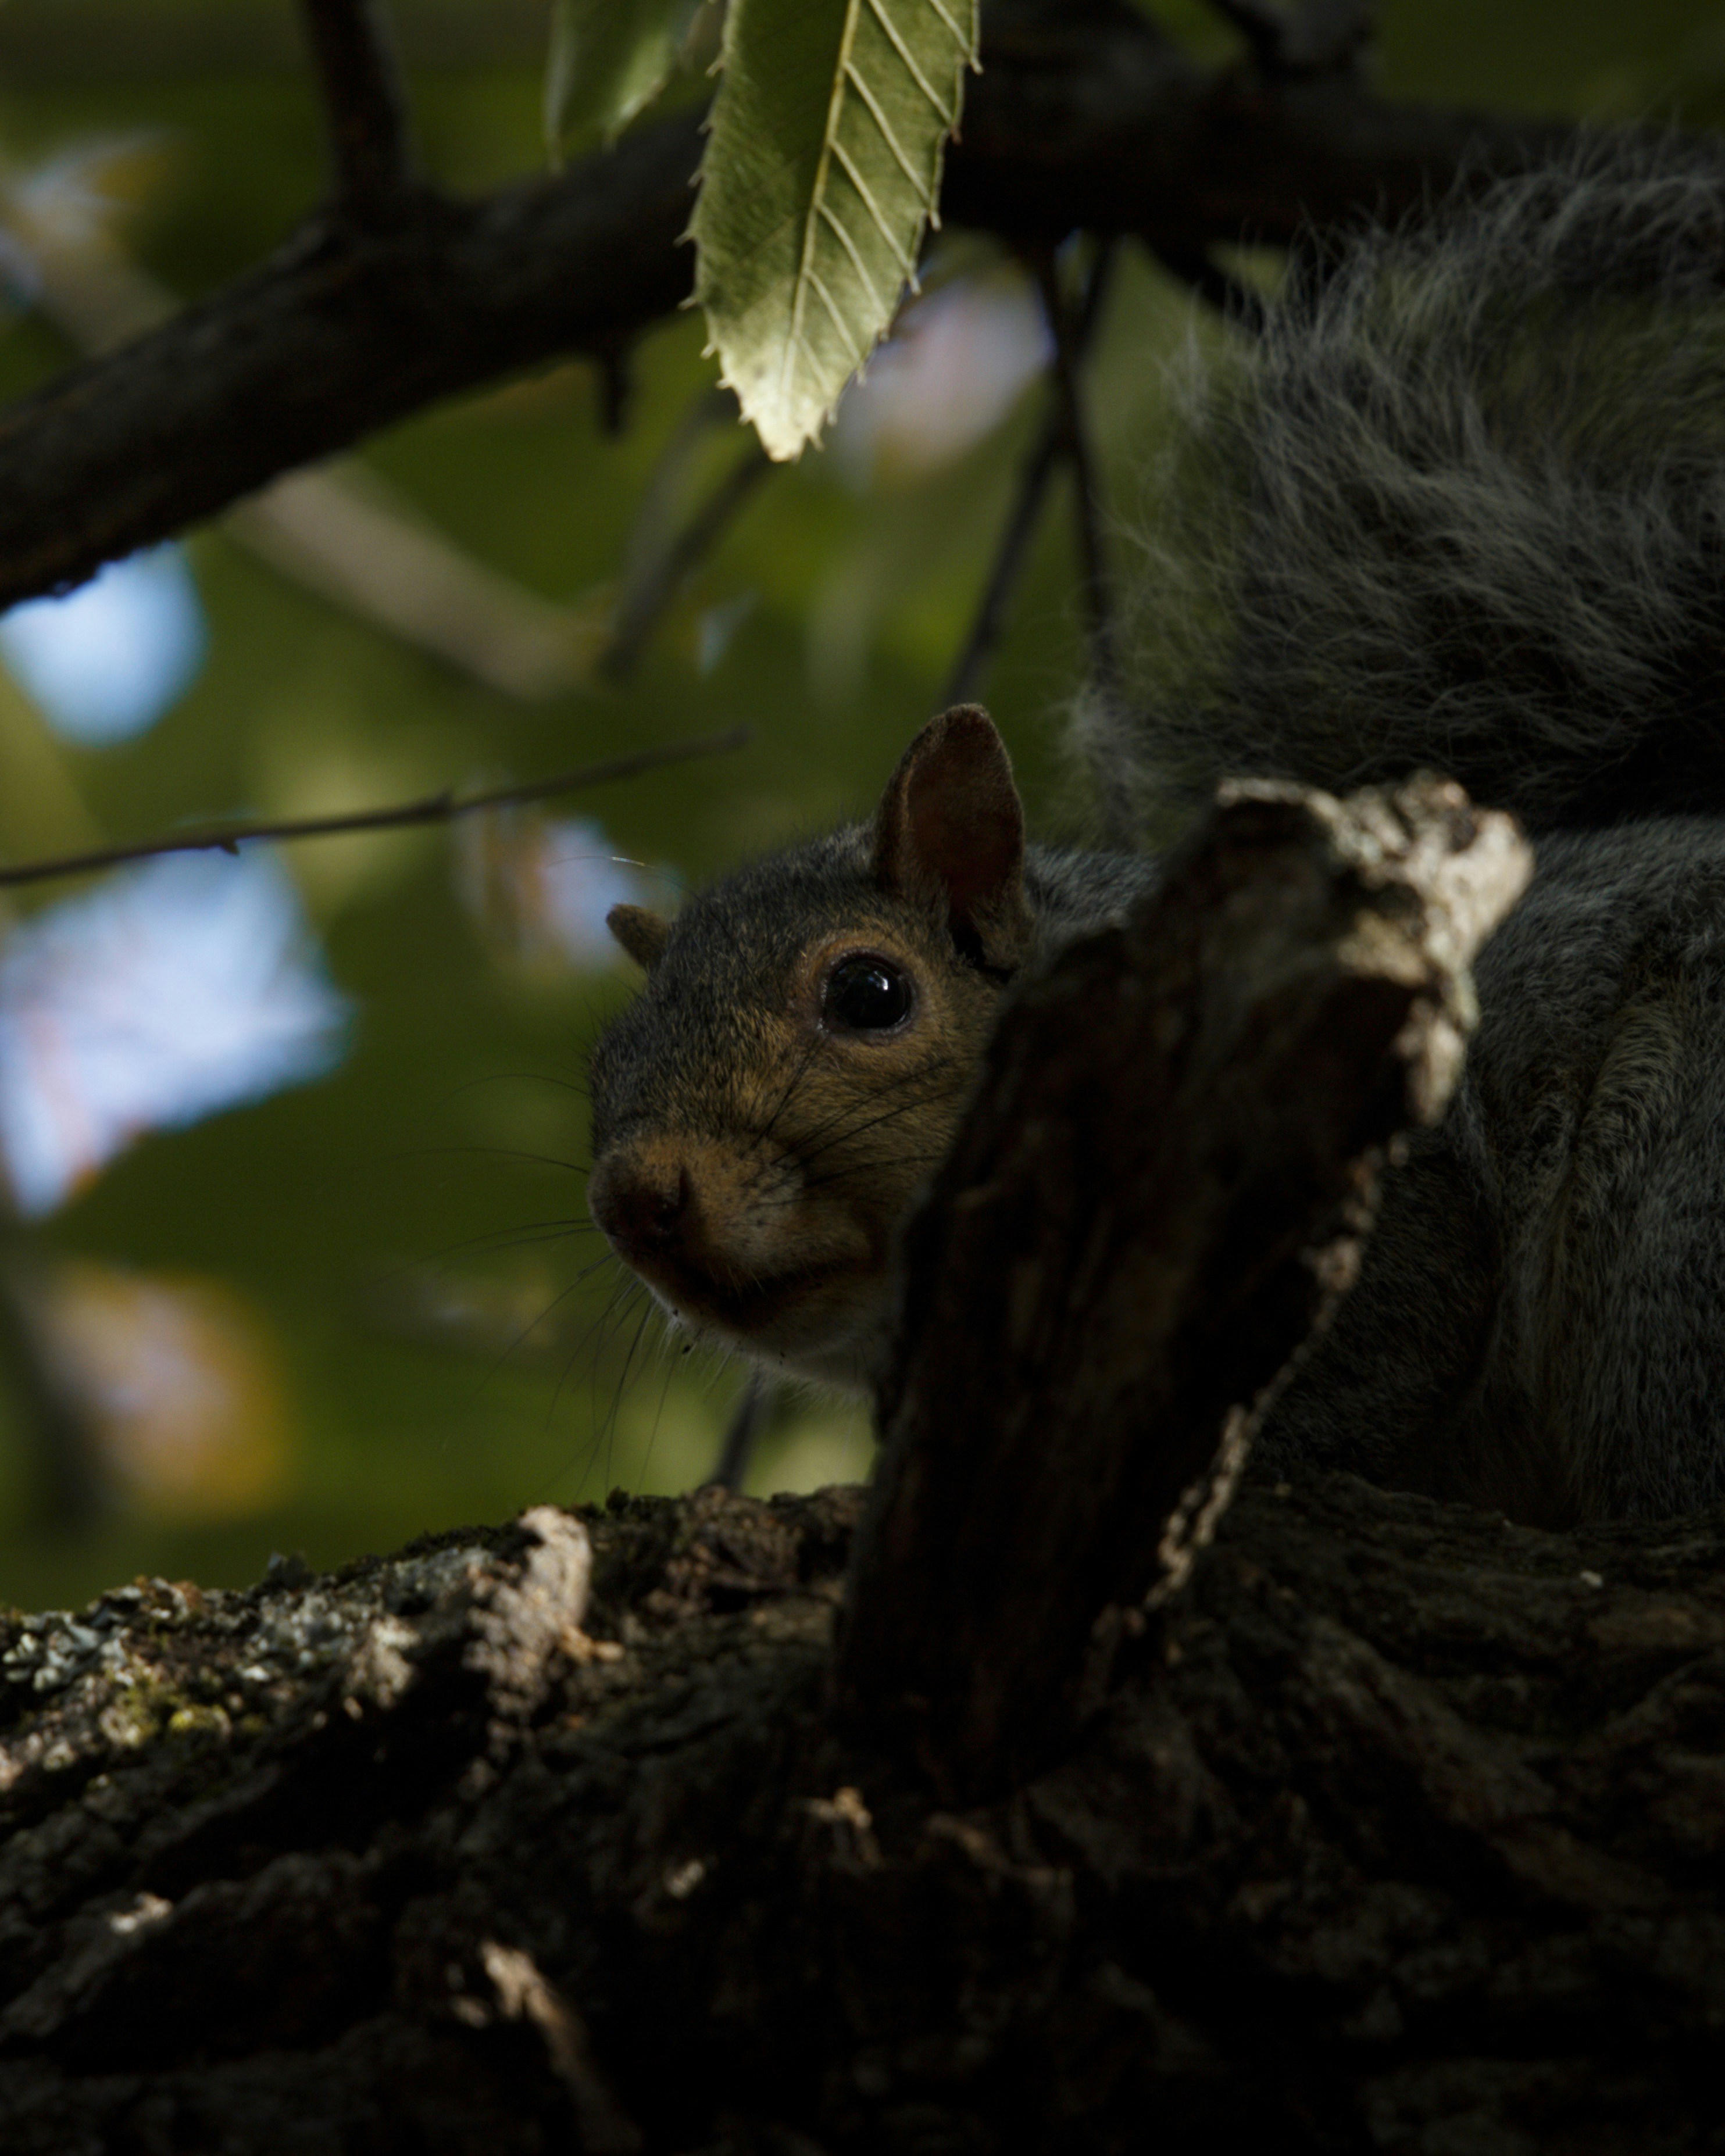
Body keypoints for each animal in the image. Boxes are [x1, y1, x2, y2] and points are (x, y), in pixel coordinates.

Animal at [588, 138, 1725, 1528]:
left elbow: (1403, 1337)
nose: (637, 1198)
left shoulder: (1365, 1197)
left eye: (868, 993)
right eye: (606, 1064)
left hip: (1672, 1198)